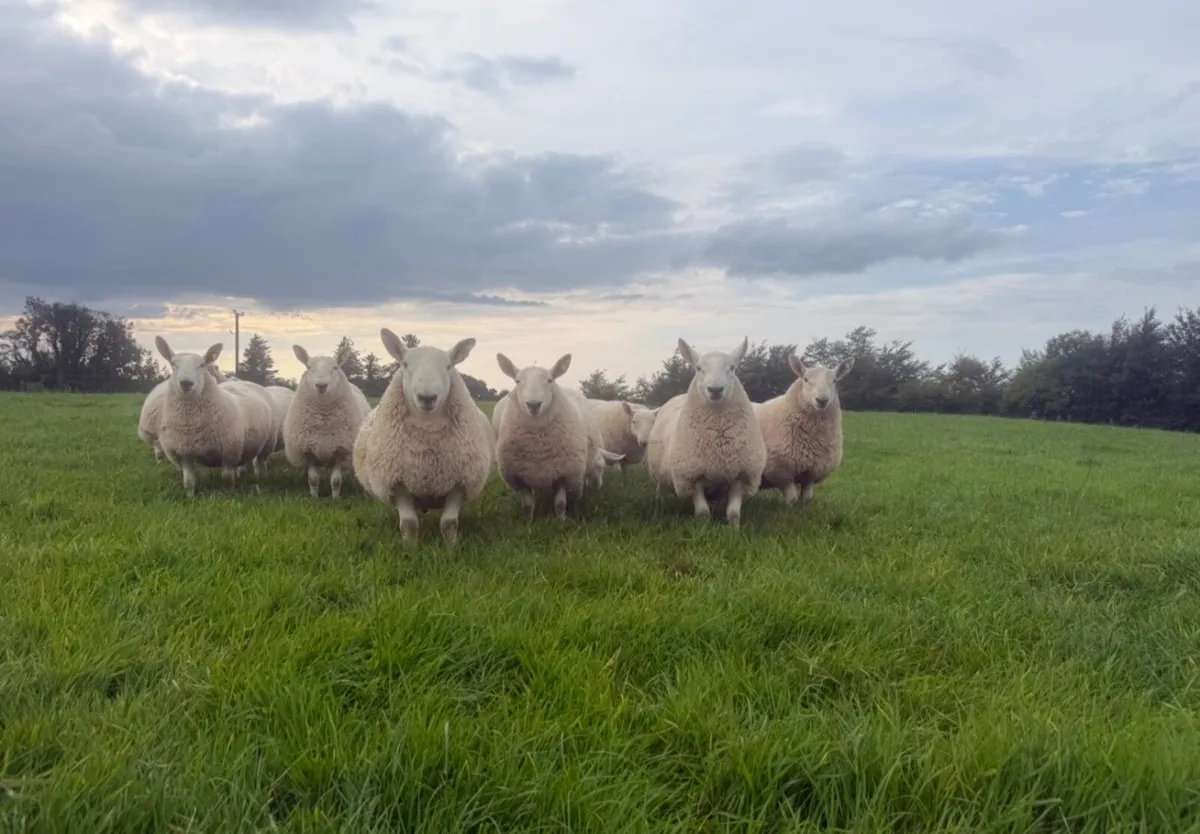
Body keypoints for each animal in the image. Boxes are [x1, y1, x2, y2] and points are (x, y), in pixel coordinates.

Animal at [152, 338, 249, 497]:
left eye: (202, 365)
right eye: (173, 363)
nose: (186, 383)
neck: (191, 427)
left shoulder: (229, 452)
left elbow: (227, 478)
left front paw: (229, 495)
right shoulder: (184, 452)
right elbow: (188, 481)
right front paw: (190, 497)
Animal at [284, 345, 371, 499]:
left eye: (335, 367)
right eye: (308, 367)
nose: (321, 385)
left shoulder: (341, 450)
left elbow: (336, 480)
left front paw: (335, 499)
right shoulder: (307, 451)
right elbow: (313, 479)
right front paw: (314, 497)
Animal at [352, 328, 492, 543]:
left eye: (448, 366)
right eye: (405, 364)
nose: (427, 397)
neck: (427, 430)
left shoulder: (459, 483)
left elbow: (449, 523)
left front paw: (452, 546)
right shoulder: (397, 483)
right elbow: (409, 524)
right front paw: (410, 547)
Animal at [656, 337, 767, 529]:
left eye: (732, 368)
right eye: (699, 368)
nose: (715, 389)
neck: (718, 440)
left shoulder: (740, 476)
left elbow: (733, 513)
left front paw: (734, 531)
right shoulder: (692, 477)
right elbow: (702, 512)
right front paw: (702, 529)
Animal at [754, 354, 856, 507]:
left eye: (834, 380)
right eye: (806, 379)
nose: (822, 400)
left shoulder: (812, 472)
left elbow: (807, 499)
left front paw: (803, 509)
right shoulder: (783, 471)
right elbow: (791, 499)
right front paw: (789, 510)